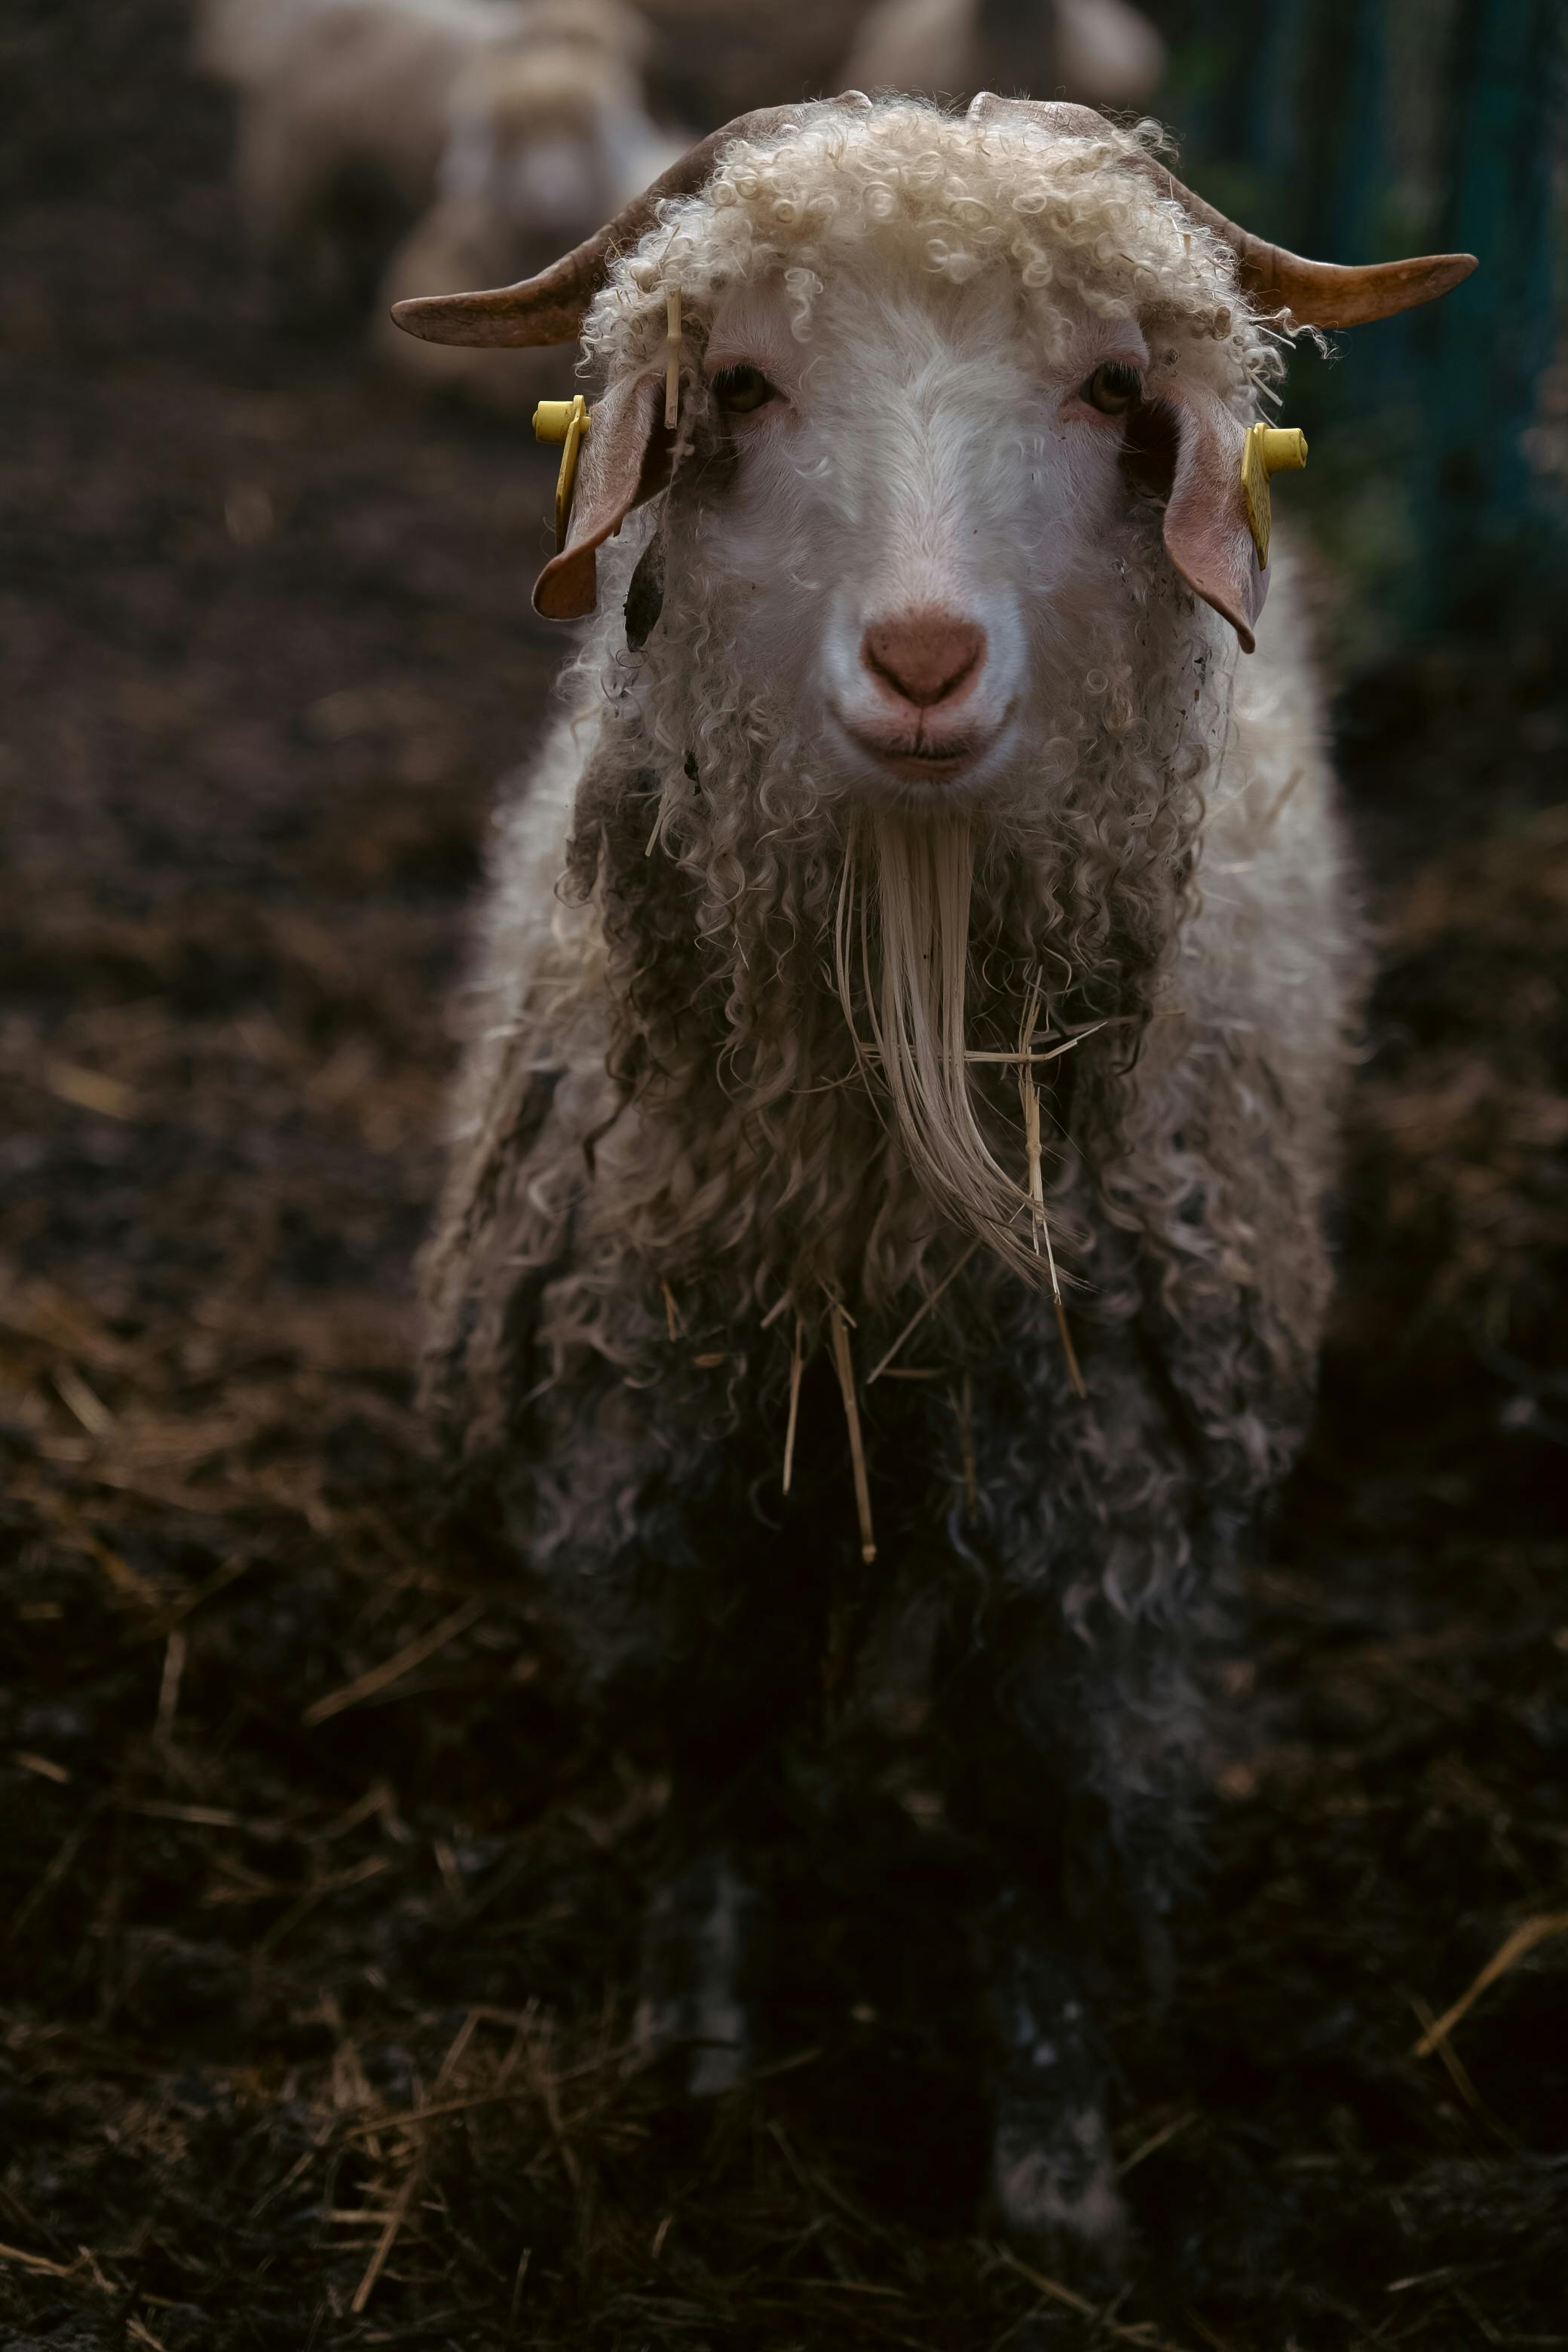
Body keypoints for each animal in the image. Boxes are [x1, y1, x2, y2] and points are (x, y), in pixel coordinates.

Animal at [391, 95, 1473, 2268]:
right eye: (738, 383)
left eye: (1112, 391)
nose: (918, 659)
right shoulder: (658, 1471)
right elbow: (708, 1764)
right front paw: (690, 2063)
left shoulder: (1097, 1532)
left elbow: (1046, 1840)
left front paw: (1055, 2183)